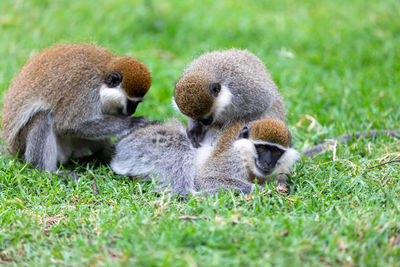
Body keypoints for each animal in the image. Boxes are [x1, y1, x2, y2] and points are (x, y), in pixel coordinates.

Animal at [1, 43, 152, 174]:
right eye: (131, 102)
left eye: (138, 103)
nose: (131, 112)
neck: (102, 77)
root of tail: (14, 151)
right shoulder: (83, 91)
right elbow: (69, 125)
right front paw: (131, 122)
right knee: (42, 116)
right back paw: (47, 172)